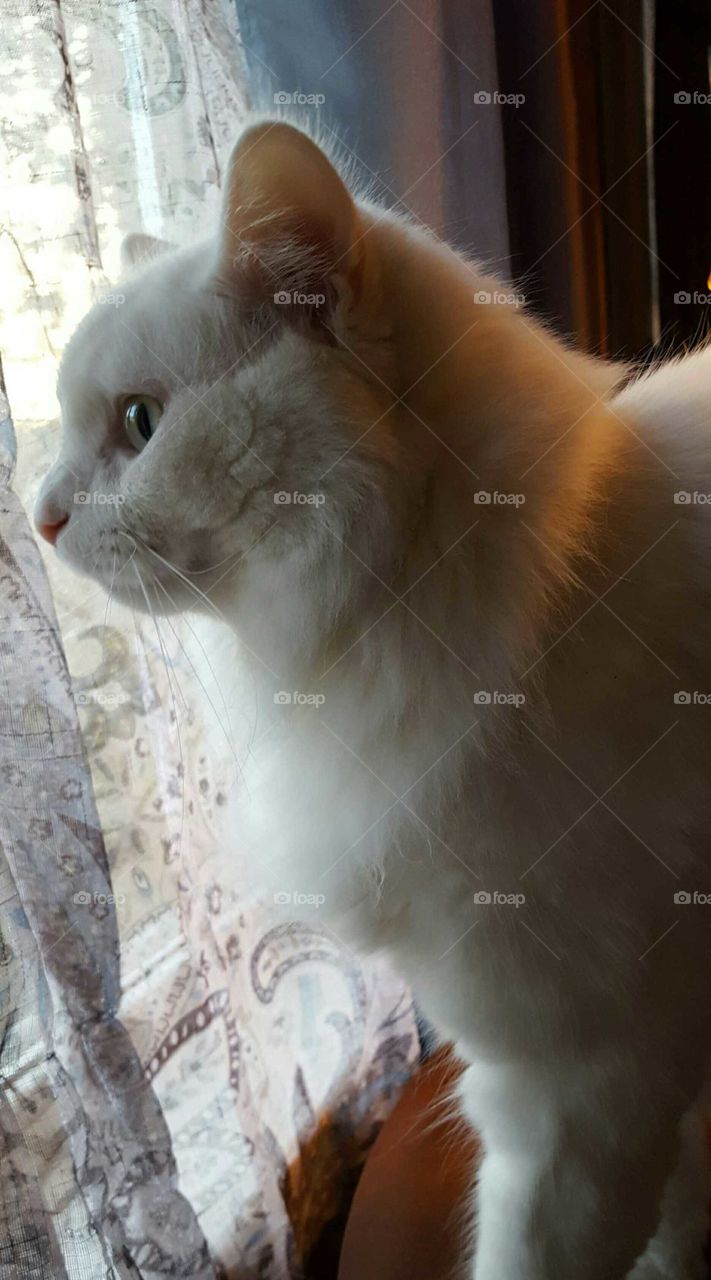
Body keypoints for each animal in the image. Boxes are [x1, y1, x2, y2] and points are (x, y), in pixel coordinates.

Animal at [36, 115, 711, 1274]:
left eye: (140, 423)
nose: (35, 516)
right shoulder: (634, 1074)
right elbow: (670, 1231)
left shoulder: (579, 1084)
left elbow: (542, 1250)